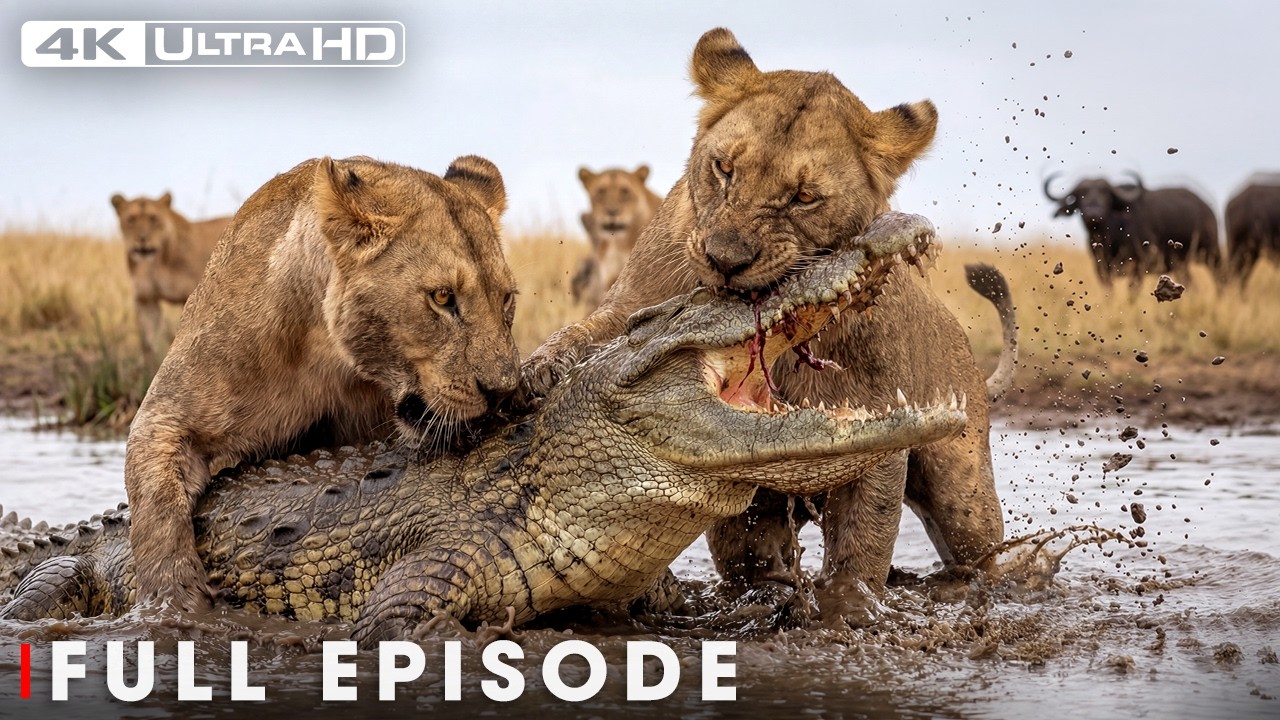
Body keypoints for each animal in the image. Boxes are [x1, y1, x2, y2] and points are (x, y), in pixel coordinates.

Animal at [110, 193, 230, 361]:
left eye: (154, 218)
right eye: (130, 219)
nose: (142, 239)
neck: (155, 264)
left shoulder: (190, 296)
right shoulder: (146, 300)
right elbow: (150, 342)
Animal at [125, 155, 521, 611]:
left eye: (506, 299)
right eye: (442, 297)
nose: (504, 391)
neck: (332, 357)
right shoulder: (166, 415)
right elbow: (156, 506)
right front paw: (172, 600)